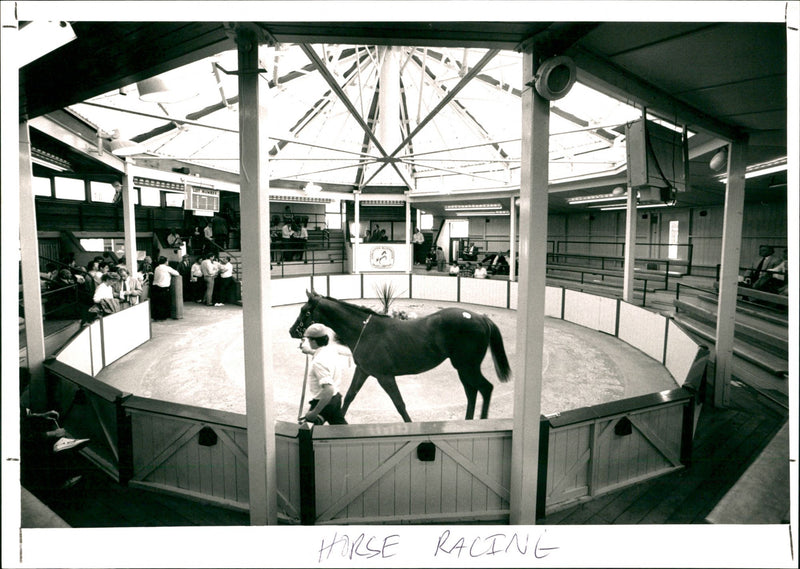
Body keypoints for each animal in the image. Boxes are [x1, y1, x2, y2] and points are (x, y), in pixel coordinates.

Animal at [290, 290, 512, 420]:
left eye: (305, 311)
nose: (292, 331)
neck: (365, 330)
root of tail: (481, 318)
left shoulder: (385, 377)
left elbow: (400, 404)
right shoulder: (363, 371)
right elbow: (350, 396)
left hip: (467, 366)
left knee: (485, 389)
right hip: (463, 368)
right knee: (472, 392)